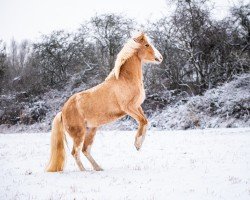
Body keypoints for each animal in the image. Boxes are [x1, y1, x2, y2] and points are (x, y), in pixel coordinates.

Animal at [46, 32, 164, 172]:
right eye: (146, 45)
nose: (160, 58)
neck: (126, 80)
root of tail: (62, 112)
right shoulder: (129, 108)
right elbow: (143, 121)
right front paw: (137, 144)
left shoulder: (137, 107)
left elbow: (145, 121)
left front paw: (138, 144)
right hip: (79, 133)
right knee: (75, 152)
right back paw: (84, 171)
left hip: (91, 129)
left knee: (85, 150)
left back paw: (98, 168)